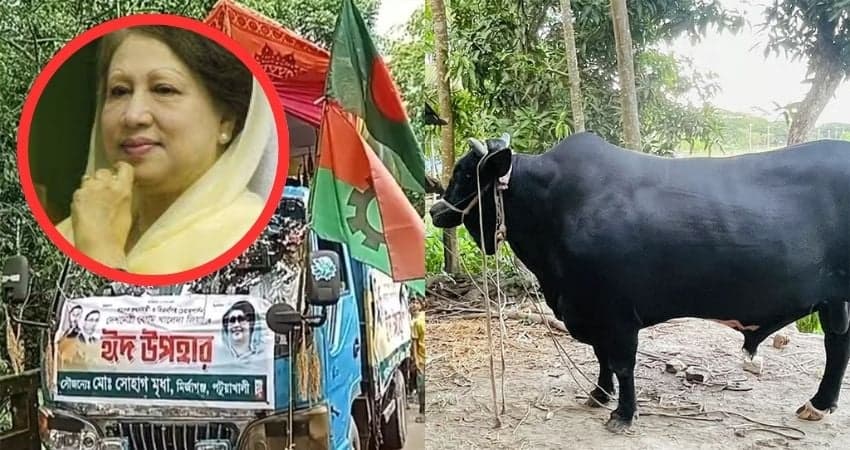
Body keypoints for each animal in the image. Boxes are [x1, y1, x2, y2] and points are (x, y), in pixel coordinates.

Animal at [428, 131, 850, 433]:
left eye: (465, 174)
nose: (434, 212)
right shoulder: (590, 309)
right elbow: (601, 357)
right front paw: (598, 395)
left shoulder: (616, 312)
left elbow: (621, 363)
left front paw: (623, 414)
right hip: (835, 299)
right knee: (838, 343)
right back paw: (818, 404)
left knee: (837, 344)